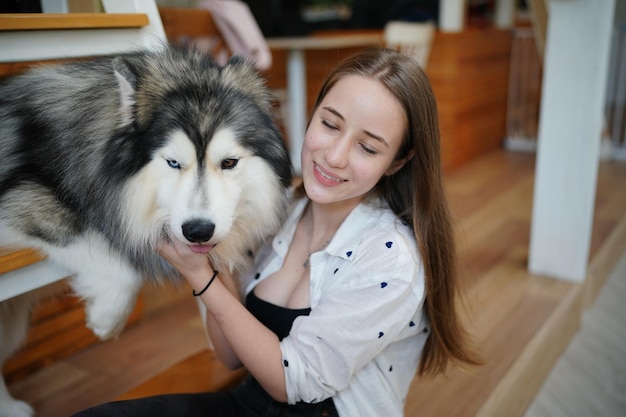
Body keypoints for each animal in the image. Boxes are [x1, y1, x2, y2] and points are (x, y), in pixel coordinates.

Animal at [0, 44, 292, 414]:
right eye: (173, 163)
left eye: (229, 162)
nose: (198, 231)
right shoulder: (24, 200)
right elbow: (111, 254)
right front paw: (107, 318)